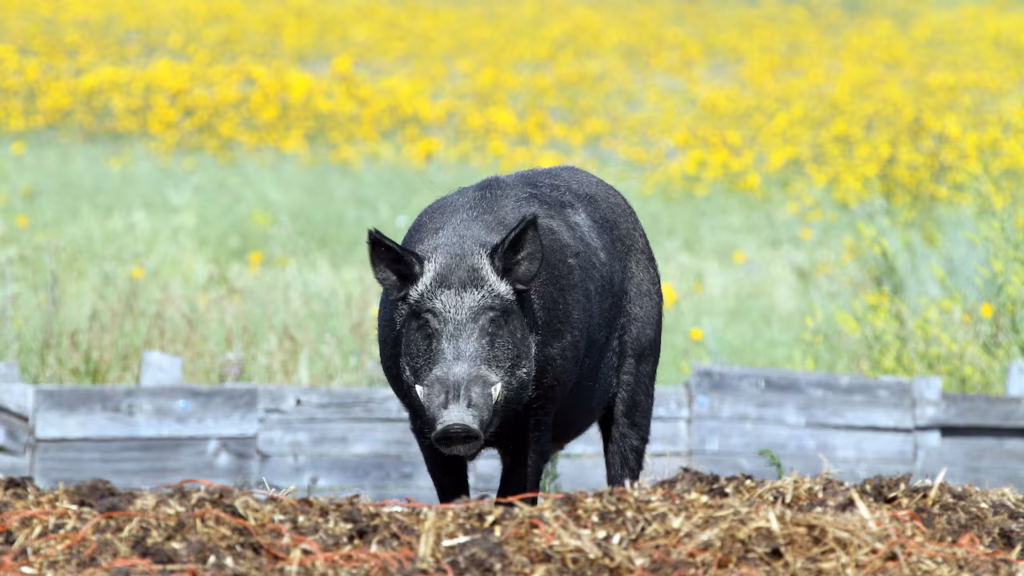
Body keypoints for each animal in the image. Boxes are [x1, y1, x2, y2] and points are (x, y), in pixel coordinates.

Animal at [367, 165, 663, 505]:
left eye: (494, 320)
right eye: (427, 323)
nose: (456, 423)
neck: (460, 256)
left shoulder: (541, 406)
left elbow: (518, 486)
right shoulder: (418, 417)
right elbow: (450, 490)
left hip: (643, 358)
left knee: (626, 443)